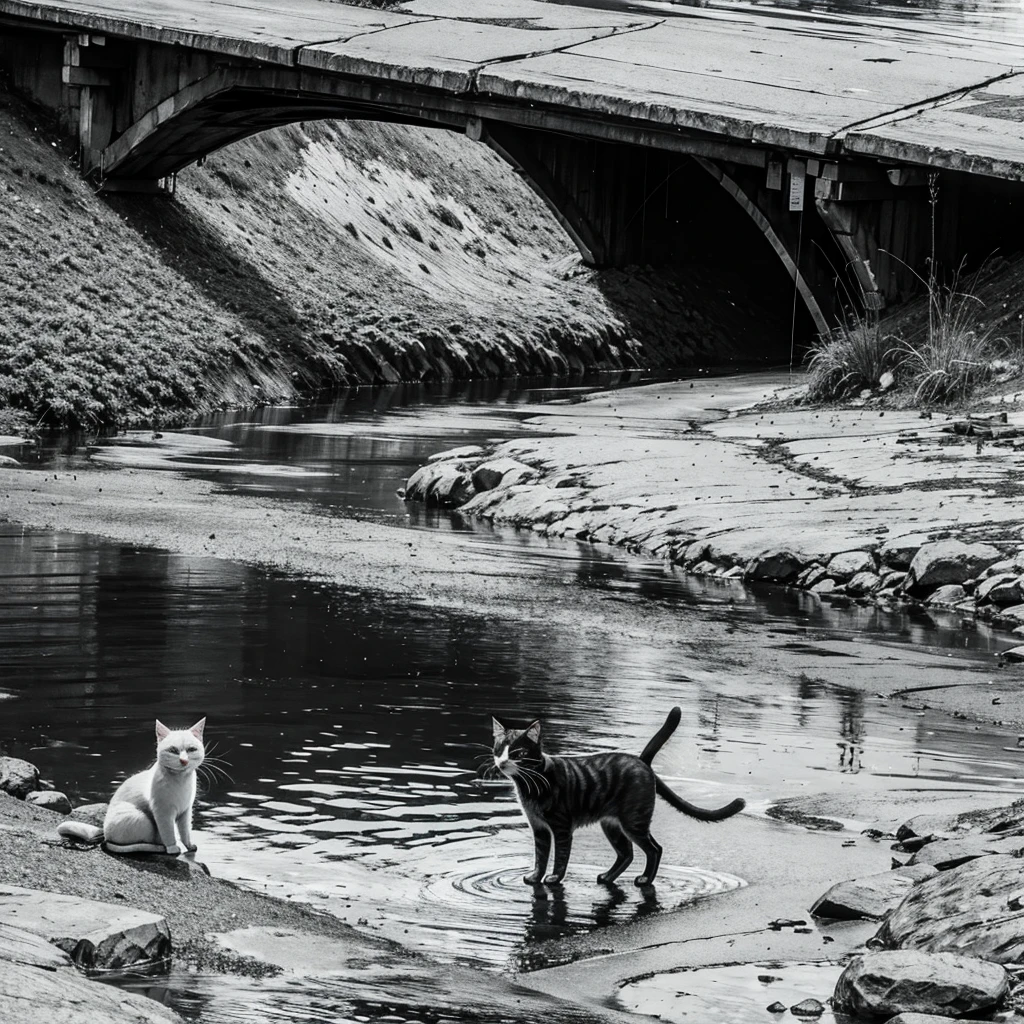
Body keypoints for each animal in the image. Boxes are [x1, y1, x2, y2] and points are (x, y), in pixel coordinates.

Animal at [57, 720, 207, 856]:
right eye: (173, 750)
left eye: (191, 749)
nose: (184, 761)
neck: (181, 780)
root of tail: (103, 832)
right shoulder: (162, 812)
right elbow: (168, 832)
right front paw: (172, 848)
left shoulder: (186, 811)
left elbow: (185, 832)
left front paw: (189, 846)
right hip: (141, 819)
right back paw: (158, 847)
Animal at [489, 708, 745, 884]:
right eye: (498, 750)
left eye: (519, 753)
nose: (501, 762)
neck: (530, 784)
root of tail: (643, 762)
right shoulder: (539, 828)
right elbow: (540, 856)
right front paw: (535, 877)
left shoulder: (561, 828)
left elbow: (560, 857)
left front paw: (553, 879)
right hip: (611, 824)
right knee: (626, 853)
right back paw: (607, 877)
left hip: (633, 821)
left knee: (654, 849)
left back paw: (645, 879)